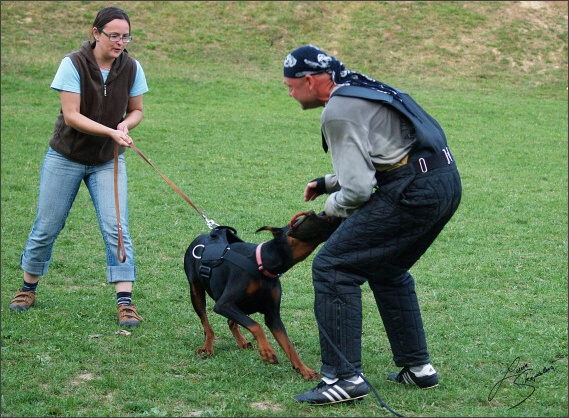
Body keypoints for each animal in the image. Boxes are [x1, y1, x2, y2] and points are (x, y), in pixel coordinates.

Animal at [184, 211, 340, 380]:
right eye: (298, 220)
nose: (325, 213)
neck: (263, 264)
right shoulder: (223, 304)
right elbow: (256, 326)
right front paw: (267, 351)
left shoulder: (273, 315)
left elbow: (289, 346)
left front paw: (304, 370)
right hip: (196, 292)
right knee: (207, 324)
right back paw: (207, 347)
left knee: (231, 322)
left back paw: (242, 341)